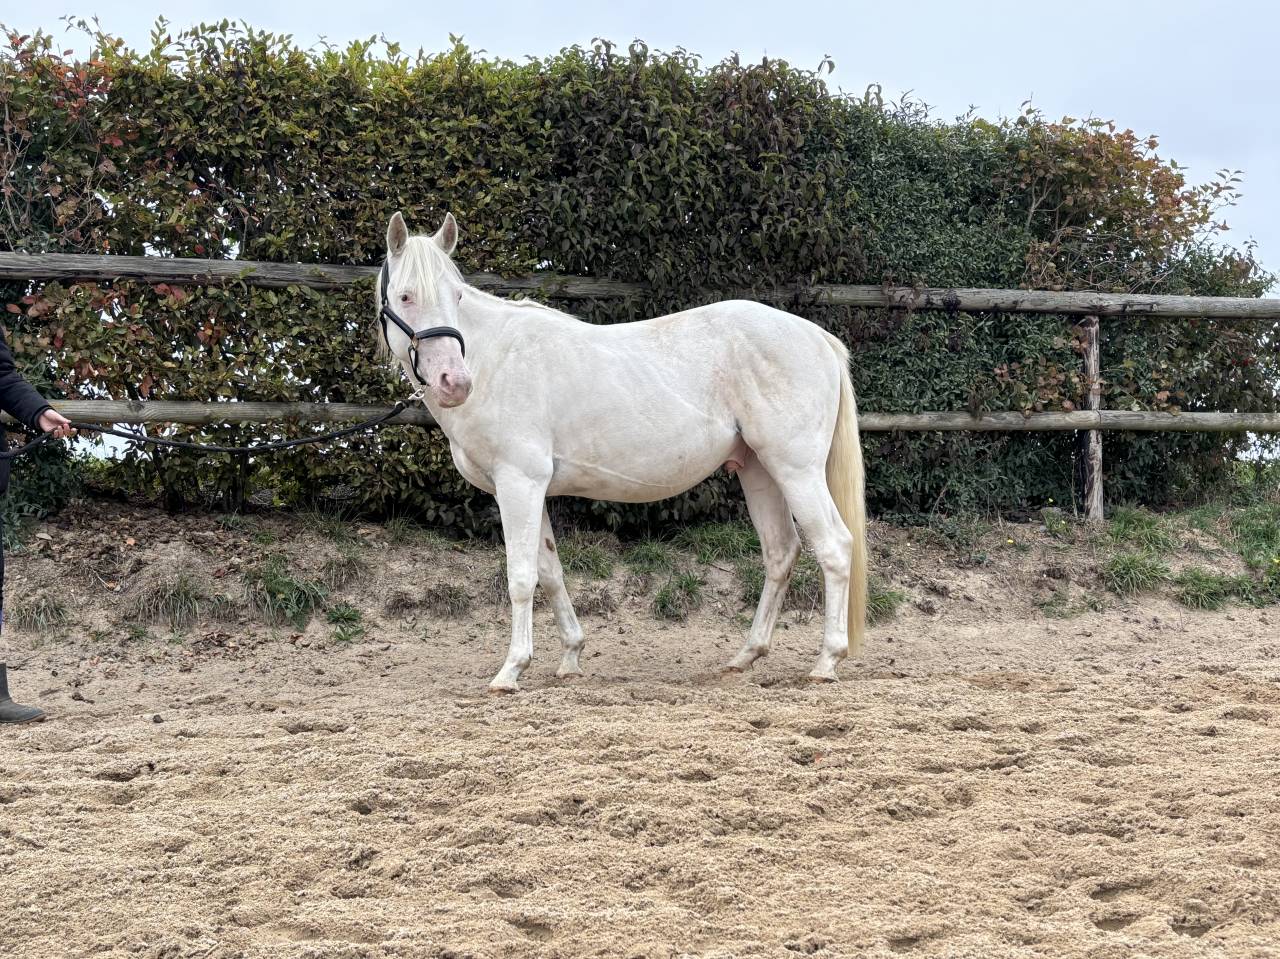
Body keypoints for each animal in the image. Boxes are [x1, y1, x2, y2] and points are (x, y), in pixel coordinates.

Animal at [375, 212, 868, 692]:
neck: (497, 359)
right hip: (759, 471)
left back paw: (826, 662)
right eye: (405, 296)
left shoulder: (519, 483)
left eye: (456, 295)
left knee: (834, 546)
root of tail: (816, 336)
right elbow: (550, 571)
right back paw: (745, 657)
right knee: (780, 553)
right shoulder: (527, 490)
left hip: (796, 470)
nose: (454, 383)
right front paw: (570, 657)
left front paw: (511, 671)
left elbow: (521, 577)